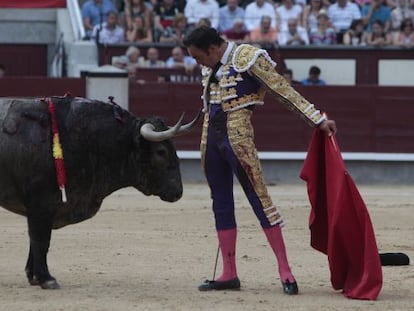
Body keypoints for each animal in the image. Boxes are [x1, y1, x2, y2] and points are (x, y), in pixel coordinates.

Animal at [0, 95, 200, 290]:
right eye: (161, 151)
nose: (178, 192)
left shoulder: (41, 210)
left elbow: (36, 241)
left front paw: (33, 276)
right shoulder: (41, 205)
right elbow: (41, 240)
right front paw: (46, 279)